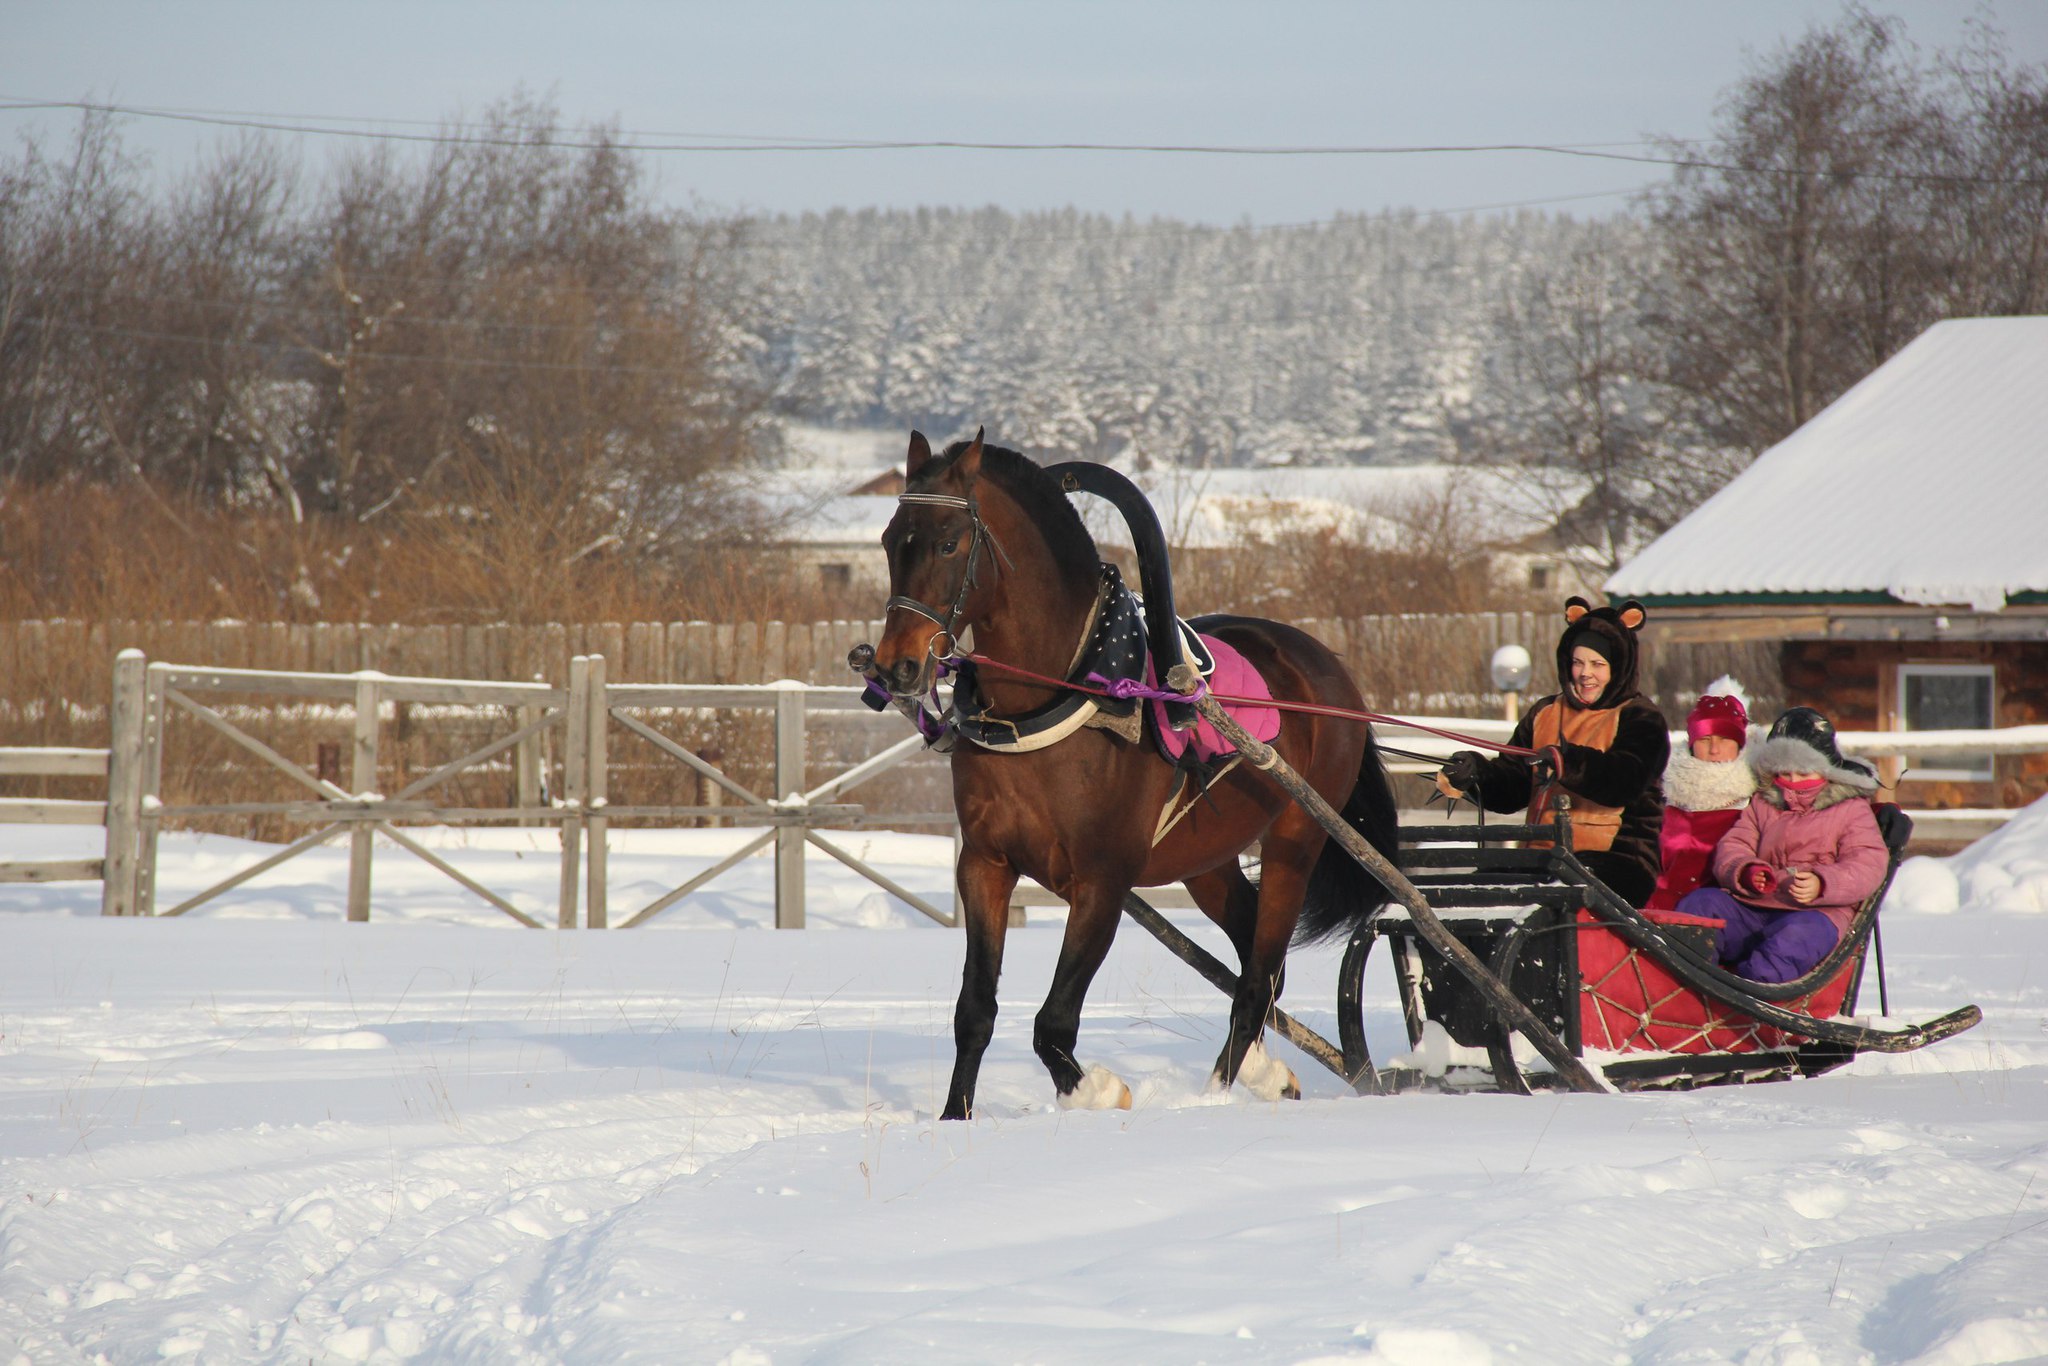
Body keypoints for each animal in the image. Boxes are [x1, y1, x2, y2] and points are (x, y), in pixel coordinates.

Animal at [872, 430, 1400, 1122]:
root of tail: (1324, 664)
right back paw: (1261, 1072)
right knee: (1258, 962)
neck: (1059, 695)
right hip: (1207, 862)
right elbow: (975, 1010)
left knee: (1258, 975)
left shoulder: (1103, 880)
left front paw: (1097, 1088)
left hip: (1296, 841)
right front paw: (953, 1117)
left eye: (948, 543)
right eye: (889, 540)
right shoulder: (985, 865)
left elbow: (1053, 1022)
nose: (896, 667)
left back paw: (1217, 1091)